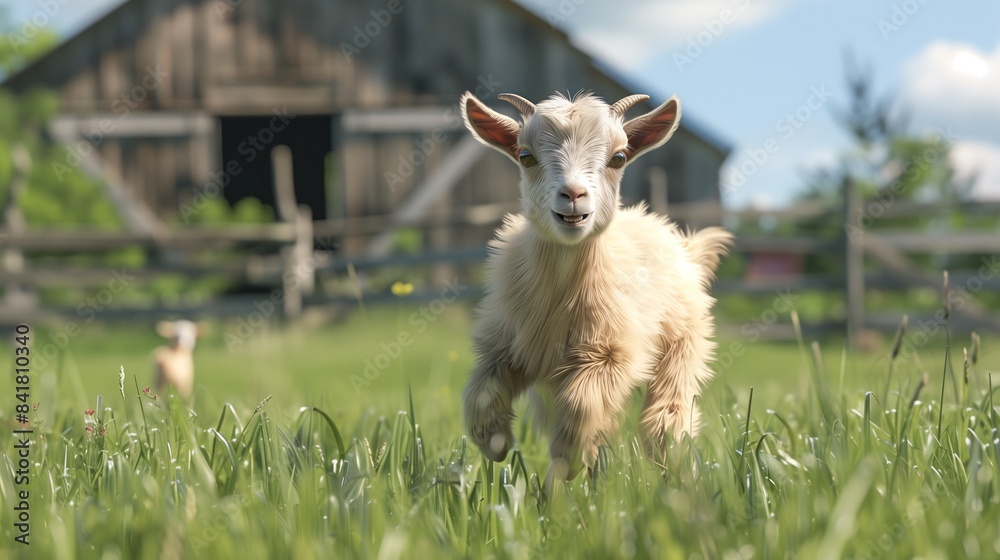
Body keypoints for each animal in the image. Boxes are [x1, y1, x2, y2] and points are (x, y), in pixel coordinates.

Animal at [460, 89, 736, 484]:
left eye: (618, 157)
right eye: (525, 156)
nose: (573, 195)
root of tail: (686, 249)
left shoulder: (610, 353)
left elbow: (580, 408)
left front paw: (570, 459)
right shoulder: (506, 346)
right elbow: (479, 395)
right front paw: (494, 443)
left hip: (682, 347)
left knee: (666, 421)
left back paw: (676, 477)